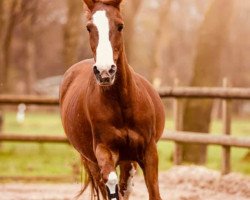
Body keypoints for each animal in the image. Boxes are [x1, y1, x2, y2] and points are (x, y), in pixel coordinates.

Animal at [59, 0, 165, 199]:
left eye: (120, 25)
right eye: (89, 28)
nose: (104, 71)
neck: (122, 104)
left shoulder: (149, 151)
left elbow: (152, 190)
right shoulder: (104, 150)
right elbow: (111, 183)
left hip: (128, 159)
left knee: (126, 183)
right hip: (91, 160)